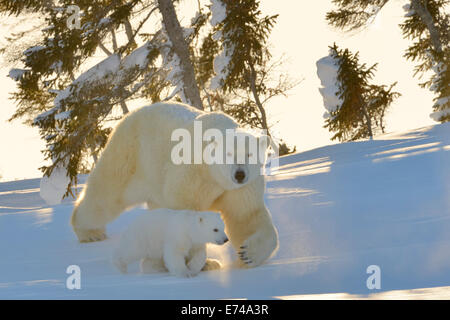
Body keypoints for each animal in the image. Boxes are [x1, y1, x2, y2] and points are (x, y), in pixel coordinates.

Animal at [71, 102, 278, 268]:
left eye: (249, 154)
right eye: (228, 154)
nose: (240, 174)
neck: (212, 174)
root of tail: (127, 117)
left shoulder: (240, 188)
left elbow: (246, 216)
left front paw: (248, 254)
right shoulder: (193, 174)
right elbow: (185, 217)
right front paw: (206, 262)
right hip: (129, 157)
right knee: (106, 197)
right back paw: (90, 233)